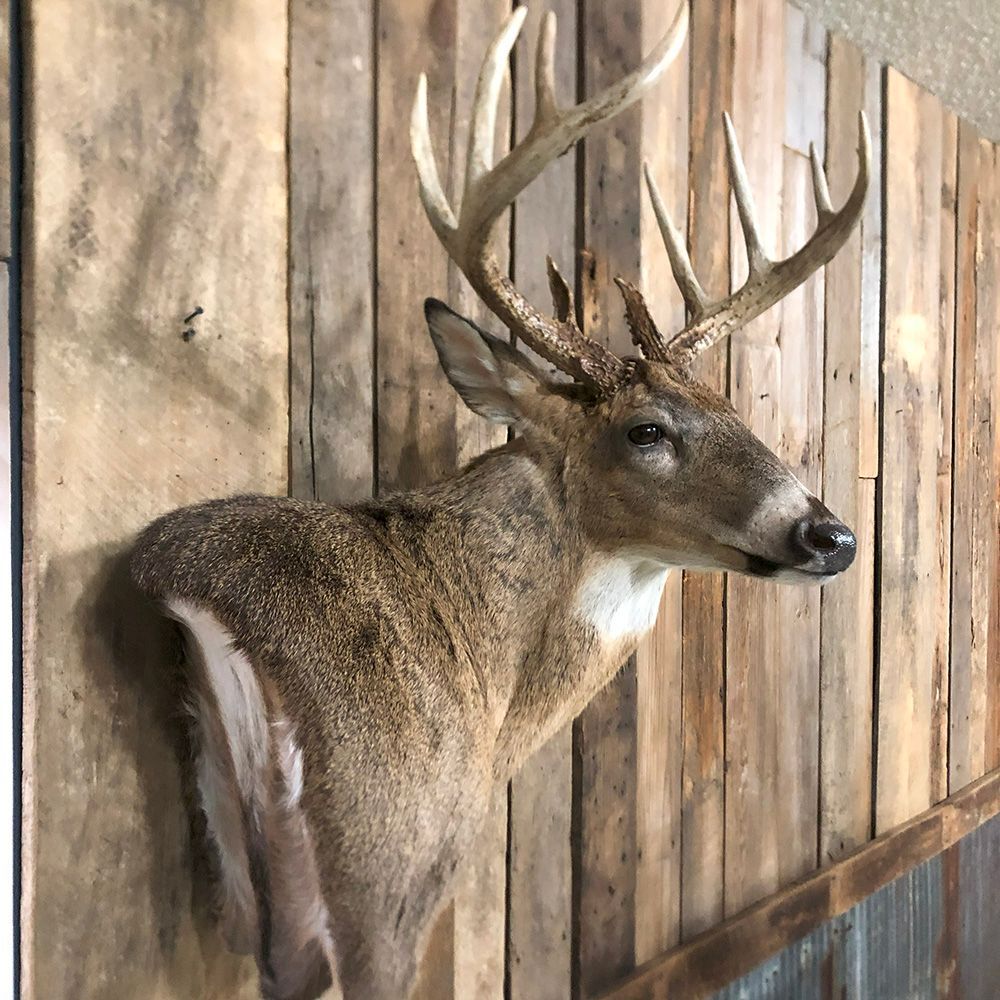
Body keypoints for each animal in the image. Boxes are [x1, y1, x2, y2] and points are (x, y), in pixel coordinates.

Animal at [130, 5, 870, 999]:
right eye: (646, 430)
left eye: (732, 406)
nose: (830, 535)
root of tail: (188, 583)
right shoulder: (427, 856)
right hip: (381, 856)